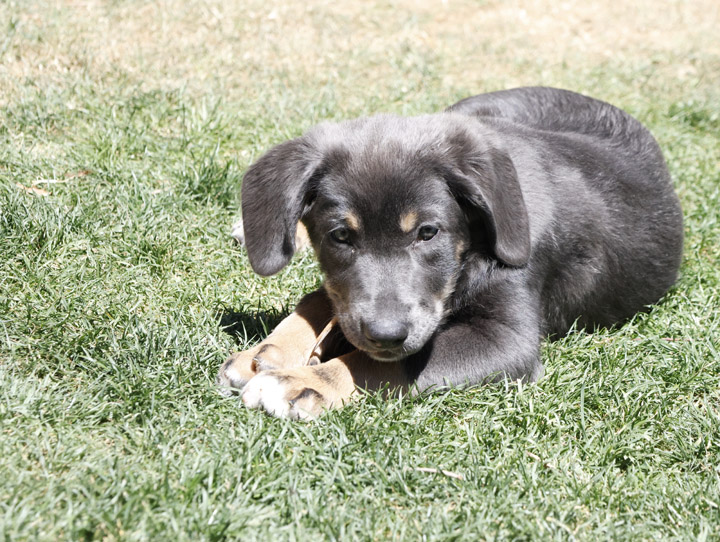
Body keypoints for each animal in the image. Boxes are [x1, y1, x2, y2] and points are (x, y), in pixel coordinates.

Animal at [217, 88, 684, 420]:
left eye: (428, 233)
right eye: (340, 235)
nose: (386, 333)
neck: (471, 250)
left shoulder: (507, 341)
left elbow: (392, 362)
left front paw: (305, 381)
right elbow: (322, 300)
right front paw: (273, 353)